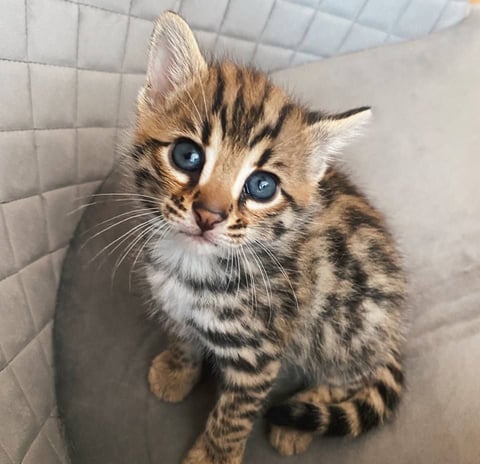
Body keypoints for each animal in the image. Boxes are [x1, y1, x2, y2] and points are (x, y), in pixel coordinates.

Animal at [130, 10, 404, 464]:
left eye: (262, 186)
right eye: (187, 155)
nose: (209, 215)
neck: (192, 266)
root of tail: (395, 330)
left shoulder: (258, 356)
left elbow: (234, 415)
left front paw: (214, 455)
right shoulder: (175, 308)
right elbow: (185, 339)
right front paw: (177, 370)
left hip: (351, 325)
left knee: (349, 375)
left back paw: (300, 418)